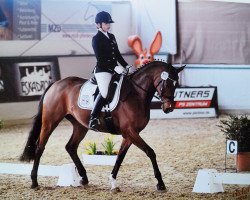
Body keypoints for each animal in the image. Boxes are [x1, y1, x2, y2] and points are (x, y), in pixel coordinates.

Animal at [19, 60, 185, 191]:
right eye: (167, 82)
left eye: (176, 83)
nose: (169, 108)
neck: (136, 94)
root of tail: (56, 83)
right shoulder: (130, 131)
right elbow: (150, 152)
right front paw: (160, 183)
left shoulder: (129, 134)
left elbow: (120, 156)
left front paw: (113, 181)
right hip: (50, 121)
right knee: (40, 147)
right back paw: (34, 182)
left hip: (80, 126)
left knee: (70, 147)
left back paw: (84, 178)